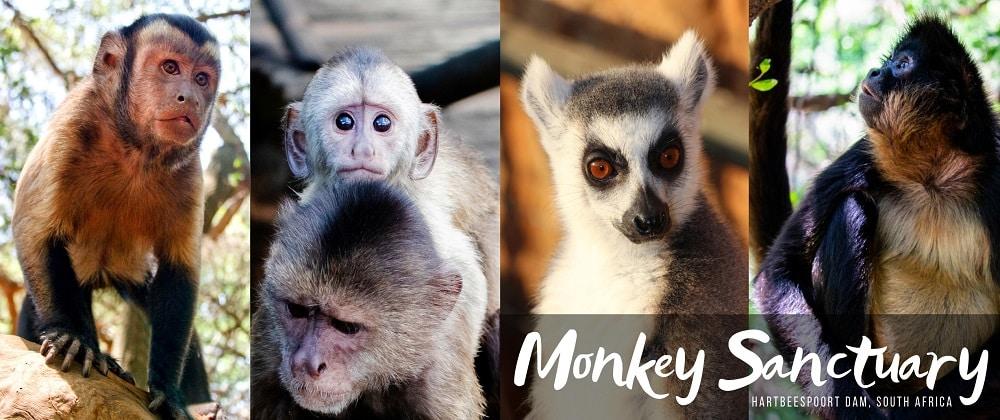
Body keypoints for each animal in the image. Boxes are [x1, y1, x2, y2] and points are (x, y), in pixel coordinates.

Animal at [11, 14, 220, 419]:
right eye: (170, 68)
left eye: (202, 78)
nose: (190, 97)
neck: (134, 149)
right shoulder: (73, 120)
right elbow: (33, 230)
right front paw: (68, 336)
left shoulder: (189, 170)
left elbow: (180, 272)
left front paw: (170, 392)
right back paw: (88, 347)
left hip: (130, 271)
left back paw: (202, 404)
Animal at [753, 15, 1000, 418]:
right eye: (890, 61)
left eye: (901, 65)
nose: (875, 70)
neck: (934, 176)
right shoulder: (862, 156)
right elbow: (777, 274)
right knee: (853, 210)